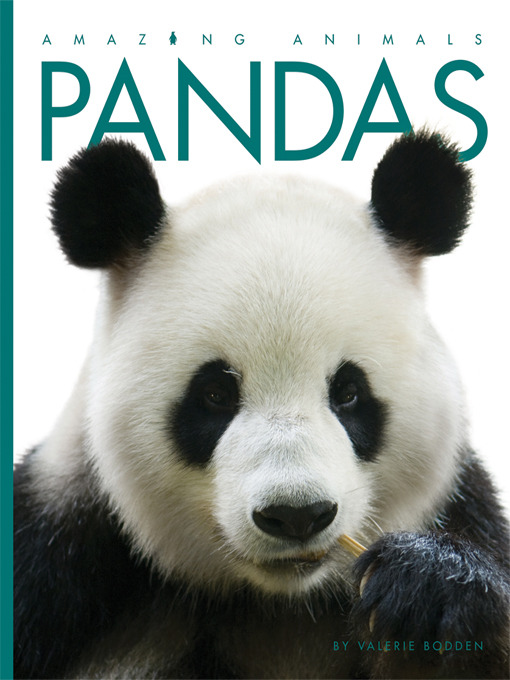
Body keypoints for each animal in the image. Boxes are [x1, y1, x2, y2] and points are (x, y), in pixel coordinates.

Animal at [14, 130, 509, 680]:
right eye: (214, 395)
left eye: (348, 392)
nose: (297, 515)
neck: (277, 602)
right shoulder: (54, 554)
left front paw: (428, 587)